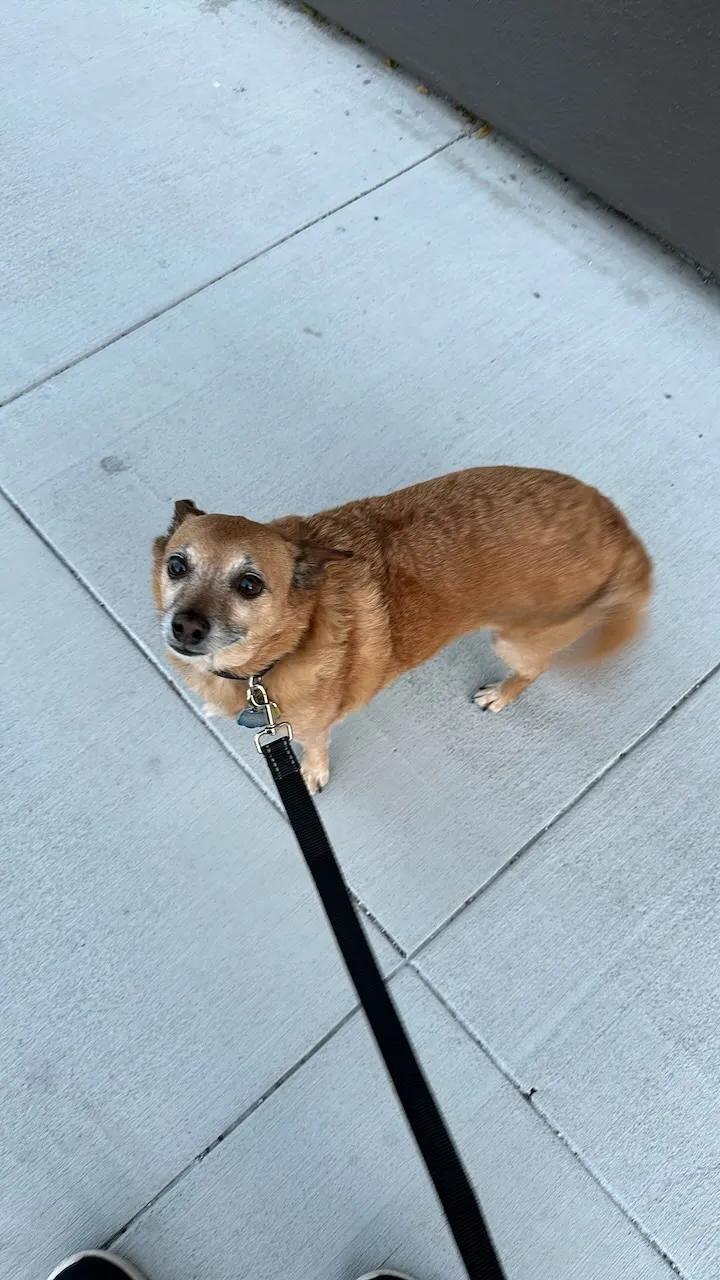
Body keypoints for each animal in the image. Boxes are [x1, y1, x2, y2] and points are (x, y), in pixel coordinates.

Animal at [151, 468, 650, 788]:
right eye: (177, 565)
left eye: (250, 584)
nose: (186, 627)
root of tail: (619, 529)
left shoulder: (310, 730)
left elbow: (316, 751)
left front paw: (312, 774)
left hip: (515, 641)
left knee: (537, 668)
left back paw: (501, 694)